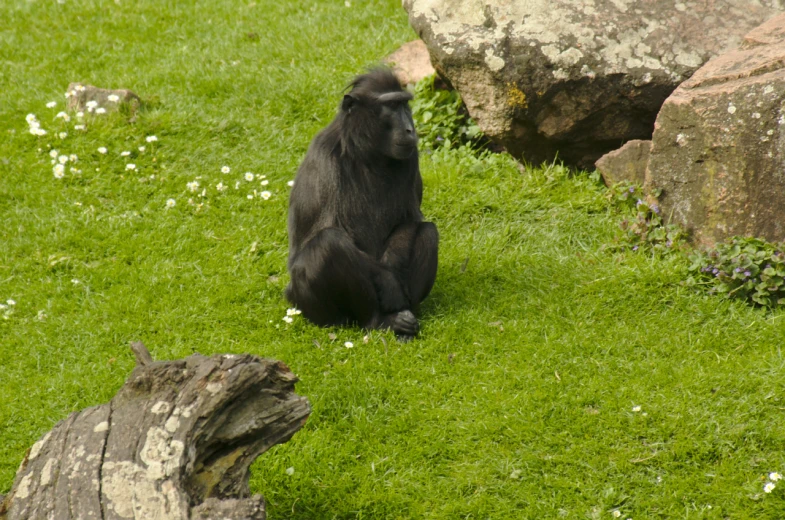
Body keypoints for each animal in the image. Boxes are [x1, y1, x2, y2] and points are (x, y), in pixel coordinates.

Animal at [284, 68, 438, 342]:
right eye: (391, 106)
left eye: (404, 104)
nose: (410, 129)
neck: (368, 154)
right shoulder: (325, 159)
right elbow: (328, 234)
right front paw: (388, 281)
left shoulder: (411, 158)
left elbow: (411, 221)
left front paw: (392, 276)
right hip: (306, 303)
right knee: (329, 244)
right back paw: (380, 321)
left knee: (428, 232)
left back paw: (406, 317)